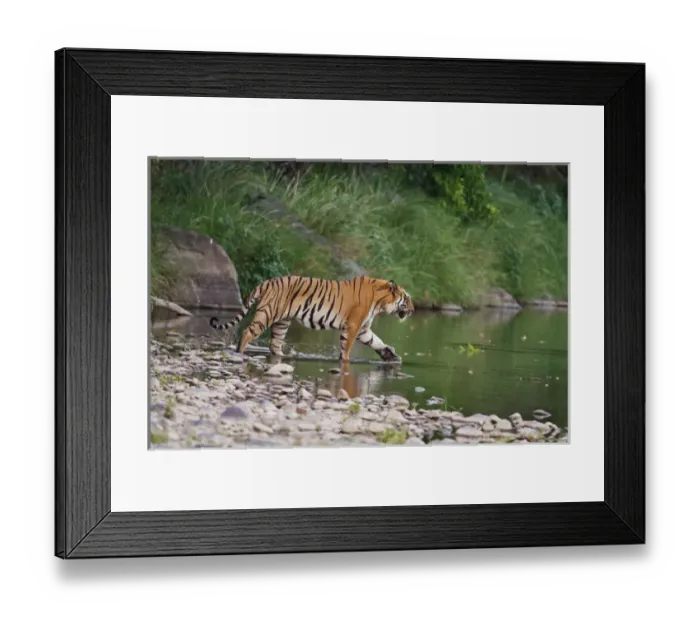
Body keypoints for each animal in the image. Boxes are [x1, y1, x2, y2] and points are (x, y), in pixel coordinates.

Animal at [209, 275, 414, 363]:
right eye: (407, 298)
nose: (413, 310)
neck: (380, 302)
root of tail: (266, 282)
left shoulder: (363, 329)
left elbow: (376, 341)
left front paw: (390, 355)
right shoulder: (353, 325)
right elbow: (347, 347)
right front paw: (345, 361)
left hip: (282, 321)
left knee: (274, 343)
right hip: (267, 314)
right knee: (247, 332)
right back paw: (240, 353)